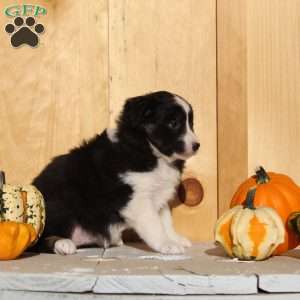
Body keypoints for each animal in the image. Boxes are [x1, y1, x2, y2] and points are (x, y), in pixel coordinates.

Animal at [32, 90, 199, 254]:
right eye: (173, 123)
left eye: (190, 123)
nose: (197, 145)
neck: (150, 150)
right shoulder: (136, 199)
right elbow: (154, 223)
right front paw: (167, 244)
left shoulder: (159, 194)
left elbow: (166, 221)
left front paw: (175, 239)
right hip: (59, 204)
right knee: (39, 240)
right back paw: (63, 243)